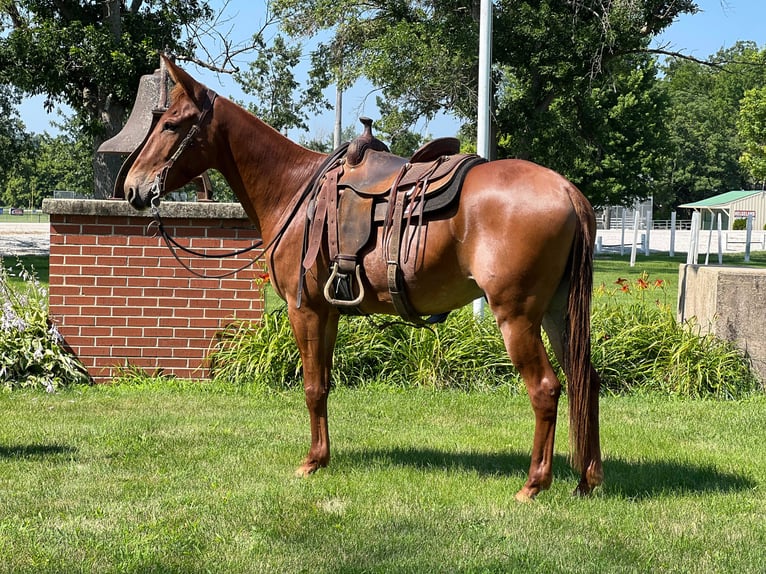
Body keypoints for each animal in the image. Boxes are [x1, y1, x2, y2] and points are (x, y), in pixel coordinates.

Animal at [126, 56, 604, 502]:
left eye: (170, 124)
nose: (132, 189)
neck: (294, 190)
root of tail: (567, 191)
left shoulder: (305, 309)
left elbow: (311, 386)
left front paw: (311, 462)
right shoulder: (329, 311)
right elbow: (324, 384)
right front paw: (323, 457)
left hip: (517, 316)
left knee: (546, 389)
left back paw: (534, 484)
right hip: (557, 313)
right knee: (586, 379)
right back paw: (588, 478)